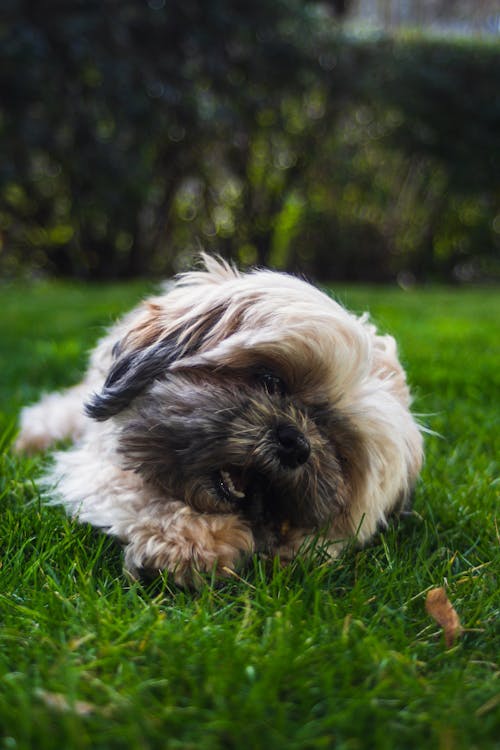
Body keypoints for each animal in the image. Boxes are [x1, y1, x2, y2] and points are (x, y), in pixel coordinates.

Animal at [14, 258, 422, 588]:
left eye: (336, 443)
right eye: (271, 381)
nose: (296, 443)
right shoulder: (101, 461)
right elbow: (133, 487)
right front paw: (190, 540)